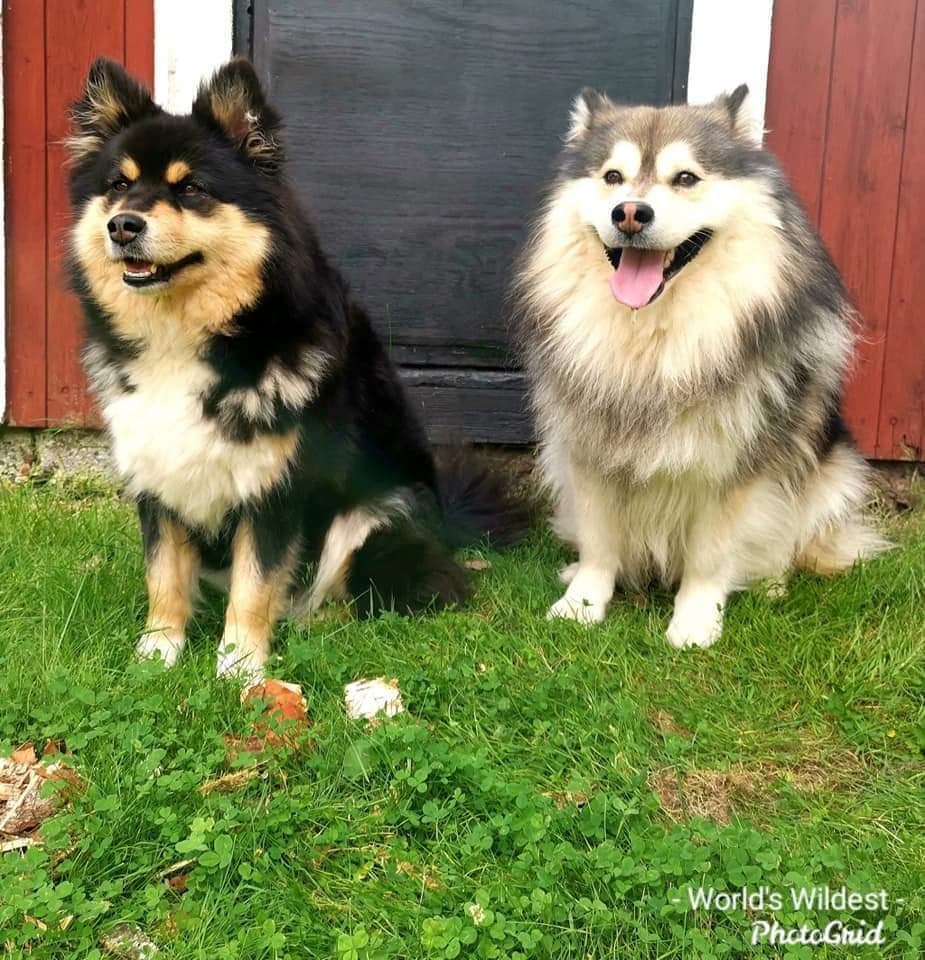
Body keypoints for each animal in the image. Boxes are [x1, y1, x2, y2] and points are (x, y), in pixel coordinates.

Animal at [67, 57, 524, 684]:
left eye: (191, 189)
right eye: (119, 185)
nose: (124, 226)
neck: (191, 338)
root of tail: (447, 521)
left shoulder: (276, 487)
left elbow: (255, 584)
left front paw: (240, 668)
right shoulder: (158, 477)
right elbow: (163, 576)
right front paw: (157, 655)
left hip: (374, 514)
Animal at [512, 84, 887, 647]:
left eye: (686, 178)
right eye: (612, 177)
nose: (629, 213)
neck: (652, 341)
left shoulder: (734, 467)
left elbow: (710, 555)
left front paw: (694, 620)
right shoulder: (588, 449)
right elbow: (600, 542)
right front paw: (582, 603)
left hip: (833, 474)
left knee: (790, 542)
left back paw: (771, 581)